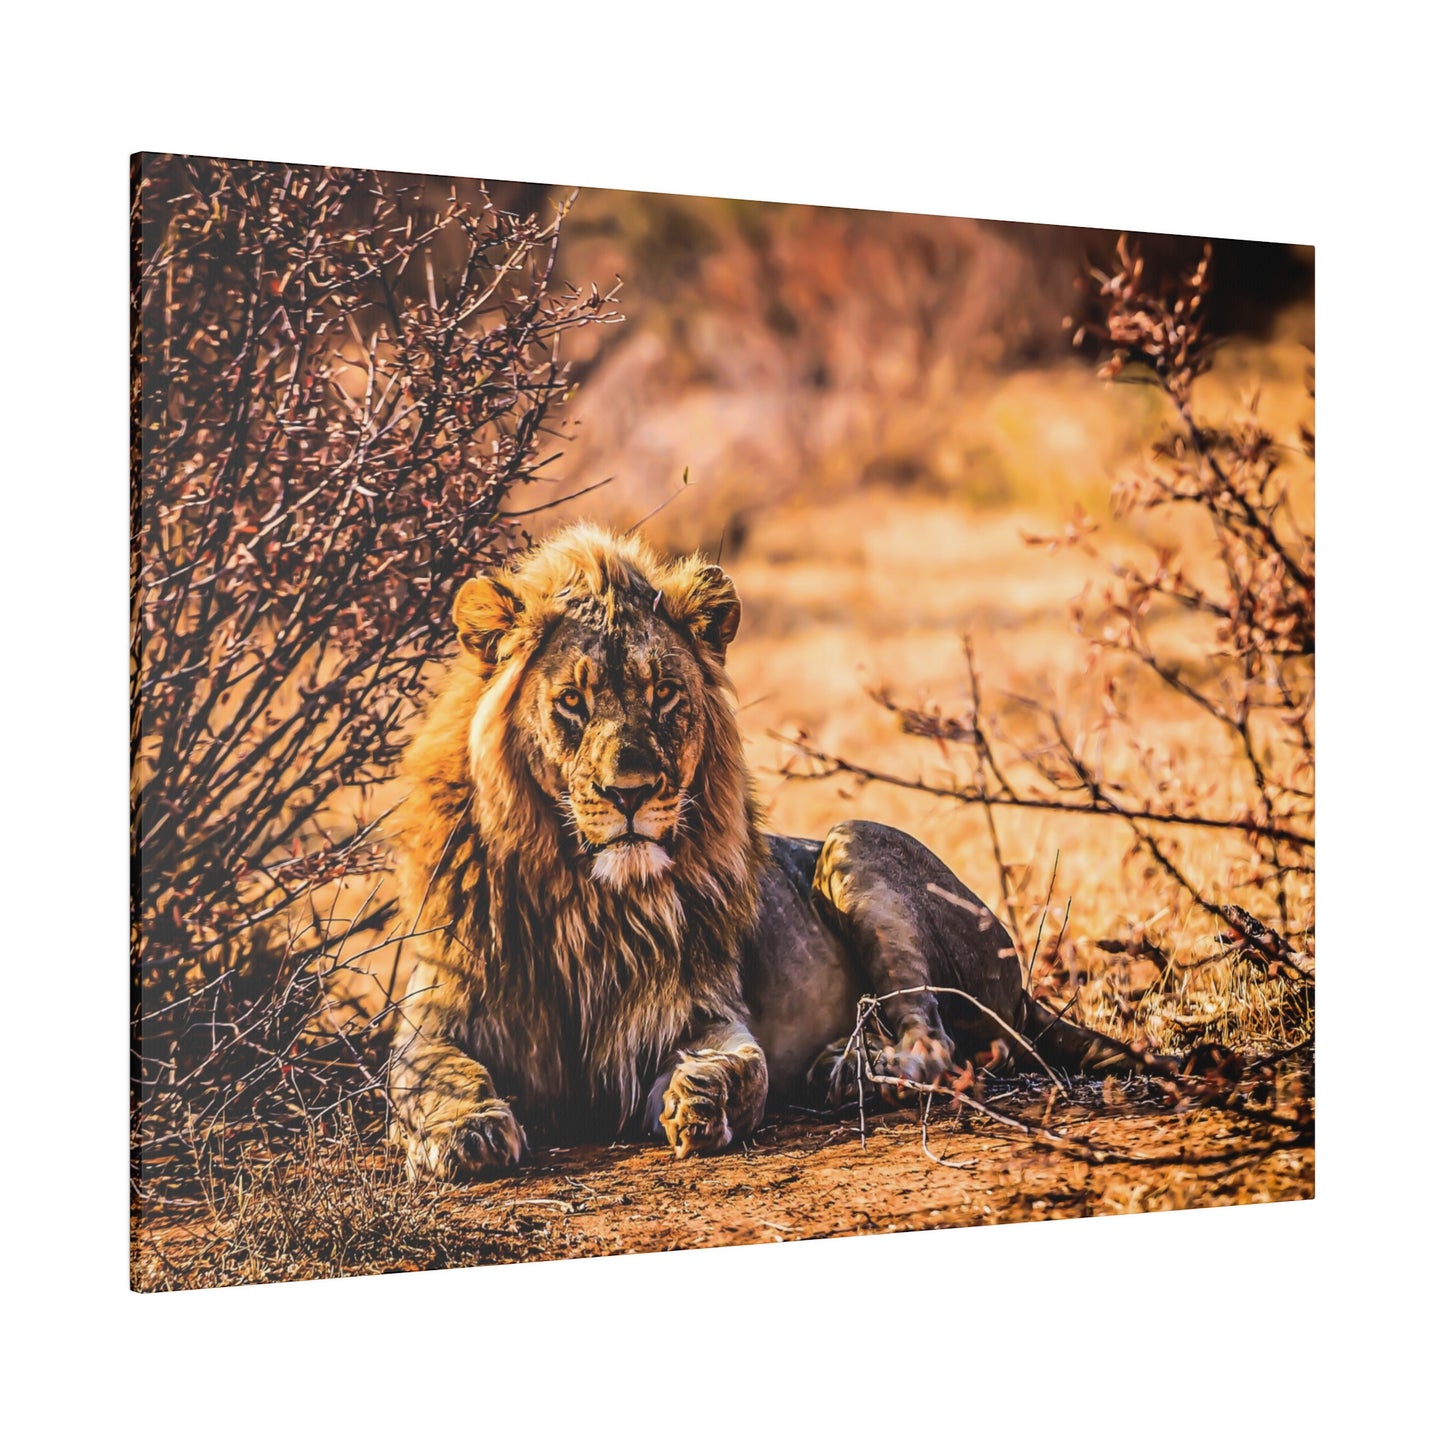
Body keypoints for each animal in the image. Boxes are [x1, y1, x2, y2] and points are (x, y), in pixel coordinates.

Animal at [387, 525, 1138, 1179]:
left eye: (665, 694)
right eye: (572, 700)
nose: (630, 792)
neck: (585, 896)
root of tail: (1024, 985)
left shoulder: (698, 1014)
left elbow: (744, 1066)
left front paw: (702, 1101)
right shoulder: (433, 1017)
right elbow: (433, 1075)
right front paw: (466, 1131)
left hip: (853, 843)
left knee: (935, 1043)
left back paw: (849, 1071)